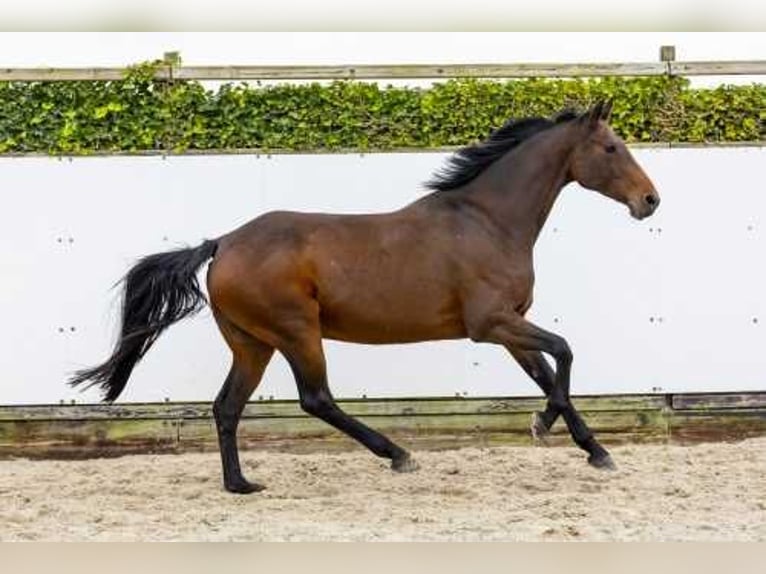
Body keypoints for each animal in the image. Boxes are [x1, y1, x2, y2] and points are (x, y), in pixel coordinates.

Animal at [70, 100, 660, 496]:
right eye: (611, 148)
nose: (650, 200)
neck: (487, 221)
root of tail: (222, 243)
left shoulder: (510, 325)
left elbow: (546, 370)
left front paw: (594, 450)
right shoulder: (490, 323)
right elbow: (564, 351)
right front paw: (546, 426)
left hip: (253, 344)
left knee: (227, 406)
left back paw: (241, 484)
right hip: (296, 332)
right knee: (316, 399)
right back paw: (397, 455)